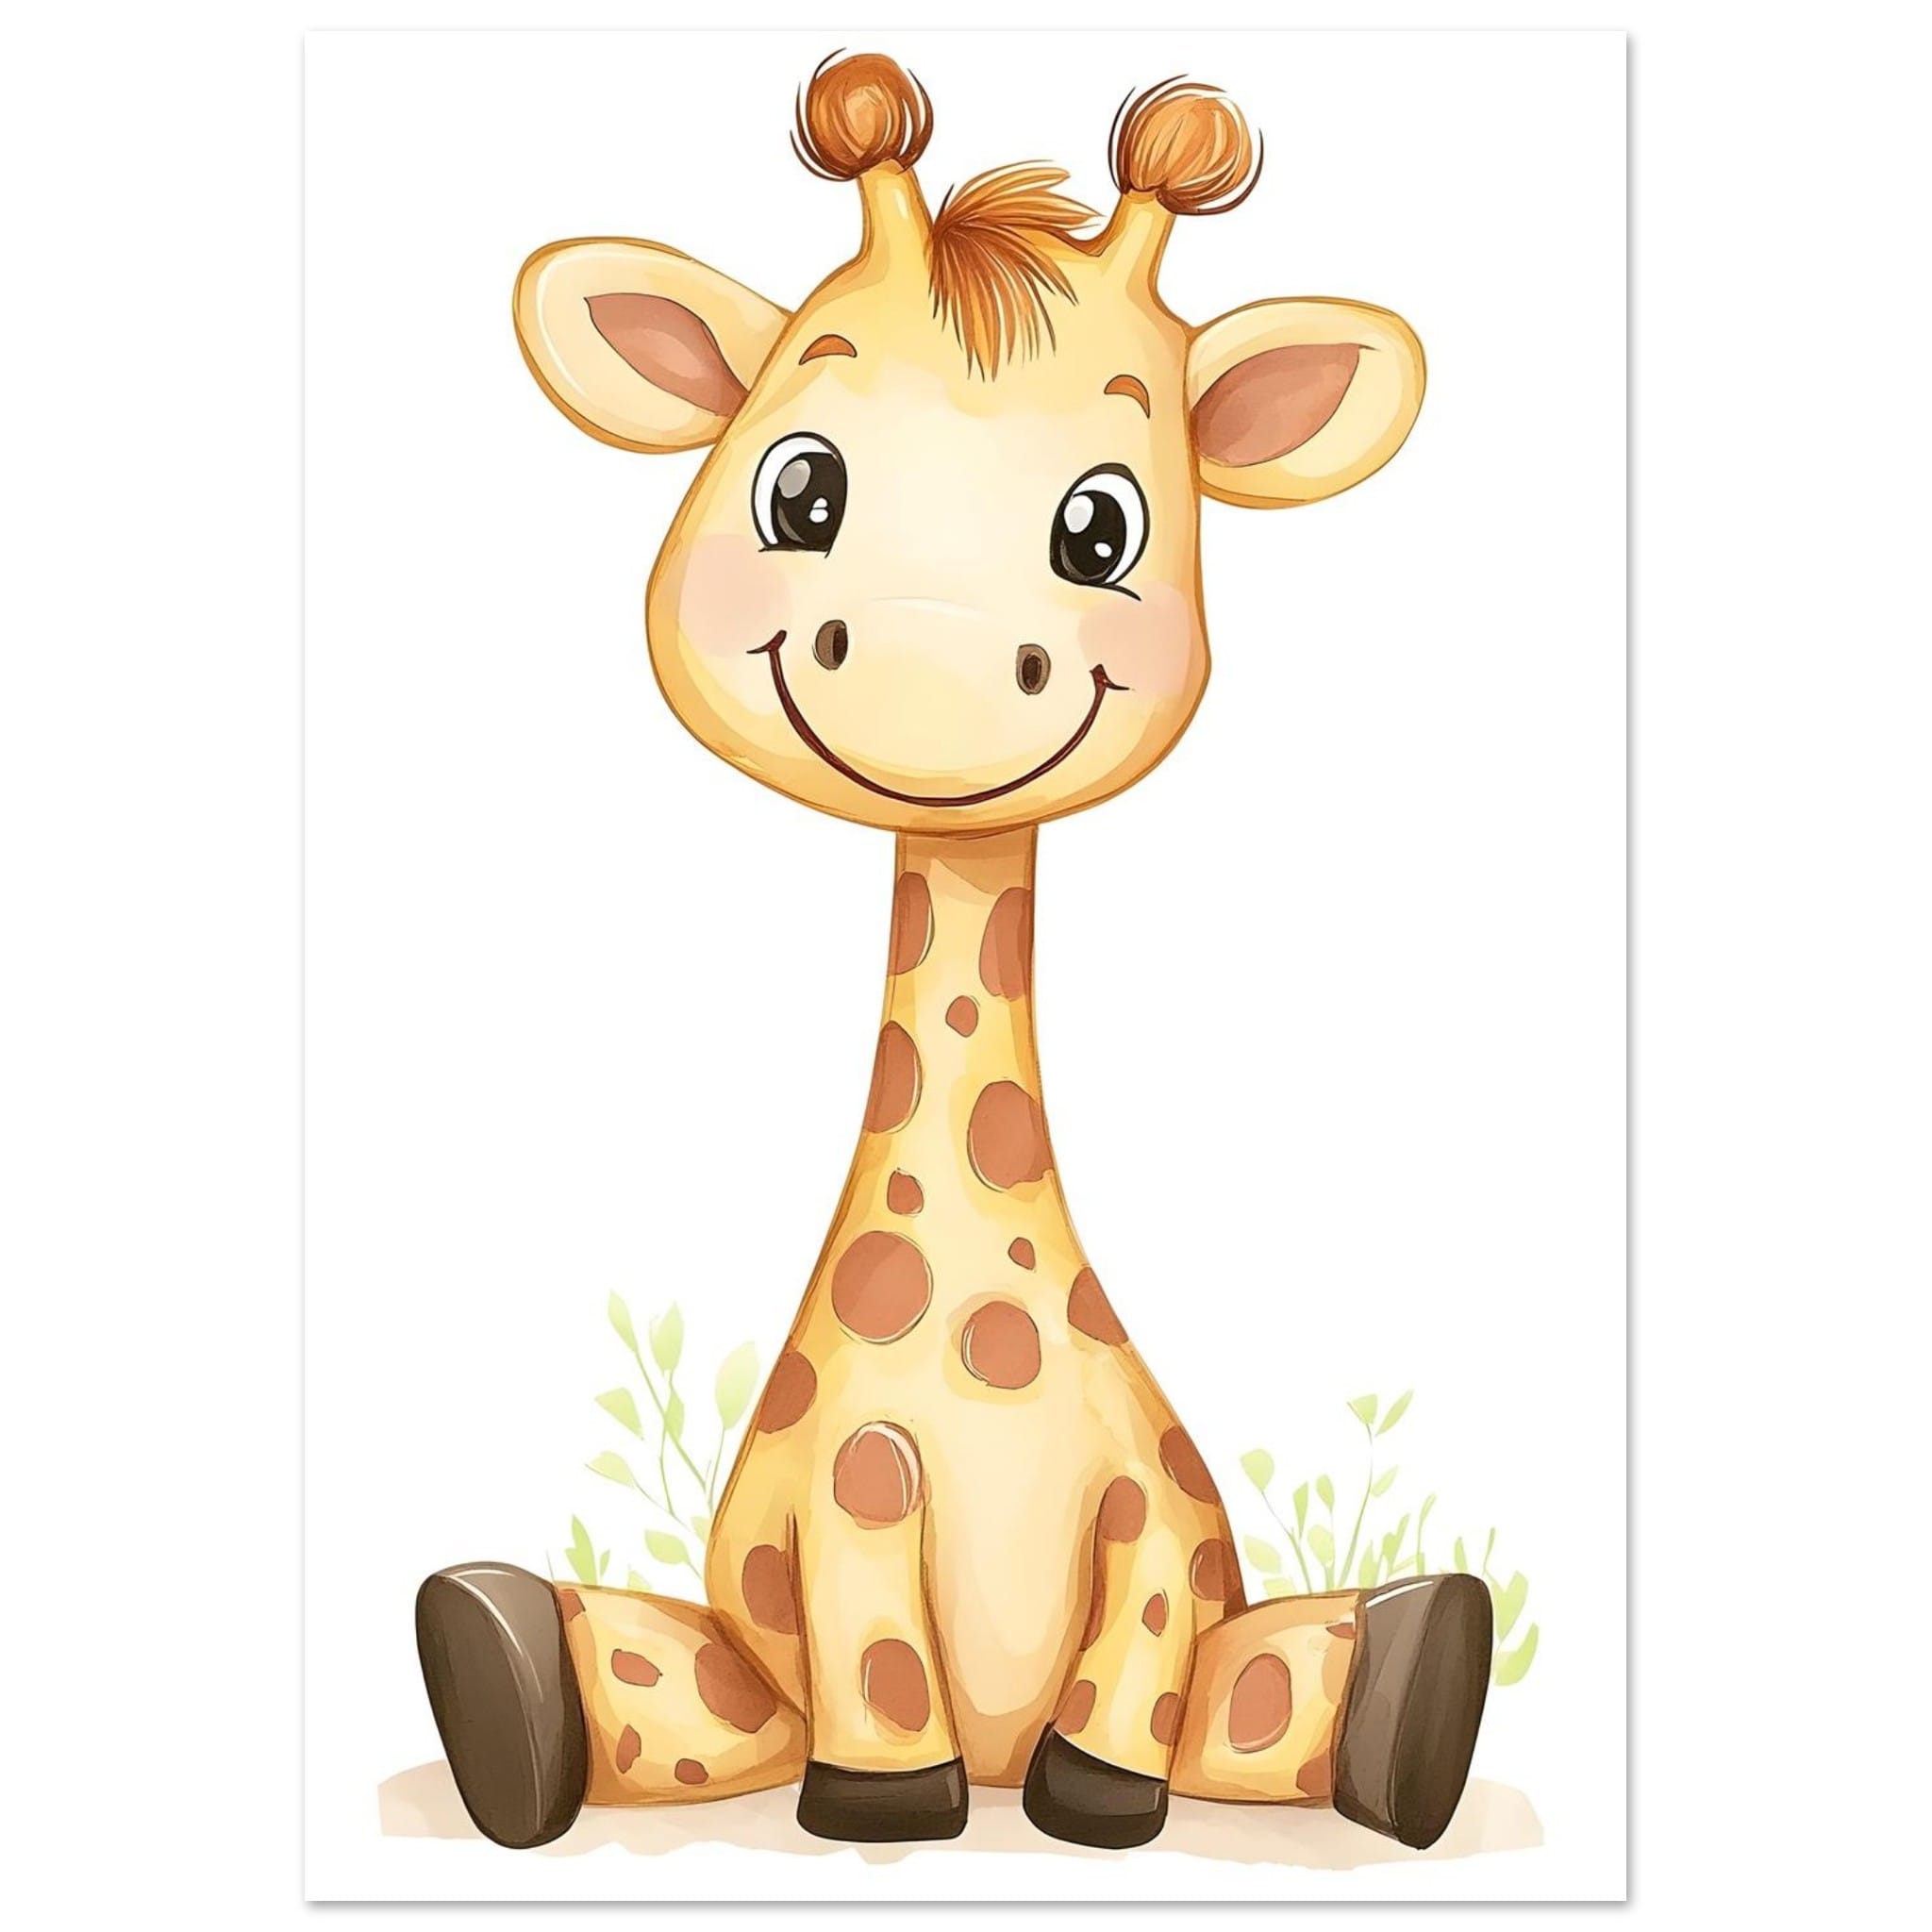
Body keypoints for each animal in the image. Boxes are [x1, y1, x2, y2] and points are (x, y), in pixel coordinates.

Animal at [415, 52, 1491, 1855]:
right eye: (799, 489)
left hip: (1242, 1662)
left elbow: (1147, 1663)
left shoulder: (1143, 1510)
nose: (939, 665)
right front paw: (889, 1802)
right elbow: (871, 1665)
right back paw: (490, 1670)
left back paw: (1424, 1701)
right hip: (733, 1678)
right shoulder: (853, 1492)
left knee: (1282, 1690)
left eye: (1101, 527)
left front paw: (1096, 1798)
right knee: (653, 1693)